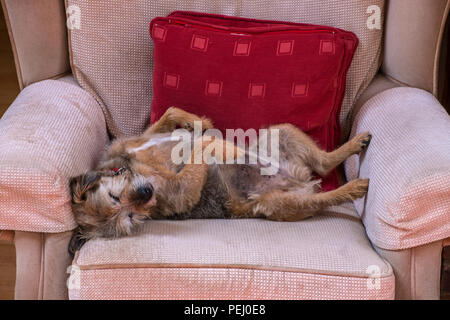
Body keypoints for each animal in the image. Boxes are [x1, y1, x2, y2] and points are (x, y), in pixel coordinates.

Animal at [68, 106, 370, 254]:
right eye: (129, 218)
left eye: (114, 197)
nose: (146, 195)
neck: (128, 165)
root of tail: (300, 180)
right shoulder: (180, 191)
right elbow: (200, 152)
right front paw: (210, 142)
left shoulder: (142, 138)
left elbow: (169, 114)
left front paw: (199, 122)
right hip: (280, 204)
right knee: (322, 197)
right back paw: (353, 188)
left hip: (281, 132)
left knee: (324, 161)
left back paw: (356, 143)